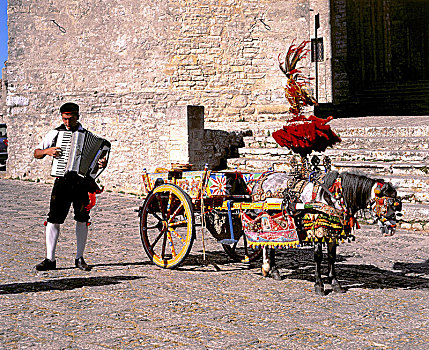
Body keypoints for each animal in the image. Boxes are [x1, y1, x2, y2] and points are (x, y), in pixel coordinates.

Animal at [251, 171, 402, 296]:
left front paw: (335, 284)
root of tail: (263, 178)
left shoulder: (332, 232)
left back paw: (271, 270)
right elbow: (318, 257)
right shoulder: (318, 229)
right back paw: (270, 268)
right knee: (267, 243)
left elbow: (331, 257)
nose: (392, 228)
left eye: (396, 206)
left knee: (271, 243)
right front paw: (319, 285)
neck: (333, 196)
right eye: (386, 204)